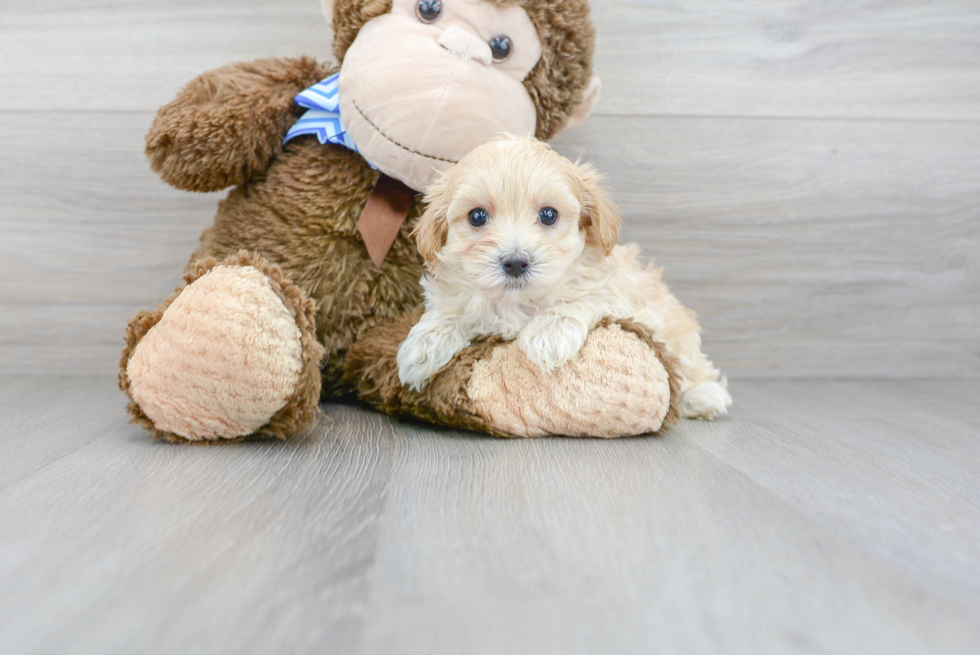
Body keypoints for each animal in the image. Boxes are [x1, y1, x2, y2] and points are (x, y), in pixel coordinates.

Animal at [394, 136, 732, 420]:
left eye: (548, 215)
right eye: (477, 217)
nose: (515, 262)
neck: (518, 302)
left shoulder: (619, 293)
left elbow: (585, 297)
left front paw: (549, 333)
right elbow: (452, 310)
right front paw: (424, 344)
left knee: (690, 364)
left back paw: (704, 396)